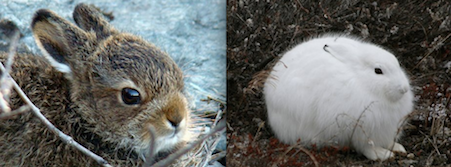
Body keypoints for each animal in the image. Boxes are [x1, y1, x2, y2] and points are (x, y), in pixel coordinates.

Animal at [264, 34, 414, 160]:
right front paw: (383, 154)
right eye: (378, 71)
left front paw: (397, 147)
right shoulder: (357, 130)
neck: (362, 81)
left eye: (397, 63)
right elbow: (366, 147)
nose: (404, 88)